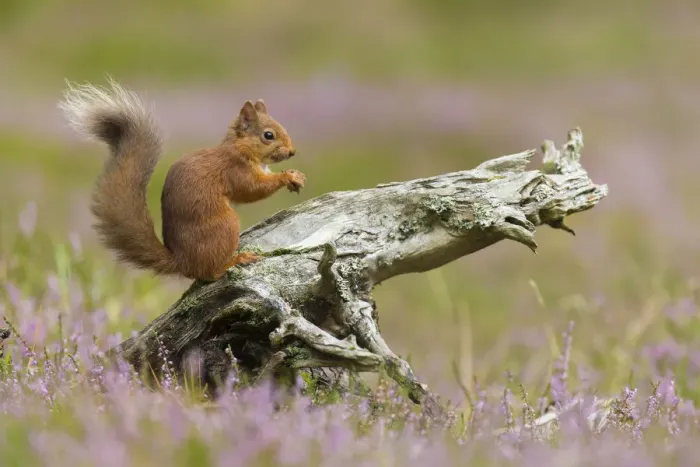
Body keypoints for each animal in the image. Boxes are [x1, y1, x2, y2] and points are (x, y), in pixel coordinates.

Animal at [58, 79, 306, 281]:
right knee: (210, 273)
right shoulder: (235, 170)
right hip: (226, 226)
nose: (292, 152)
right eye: (268, 135)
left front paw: (296, 175)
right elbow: (252, 189)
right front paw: (286, 176)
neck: (240, 147)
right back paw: (236, 260)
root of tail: (183, 262)